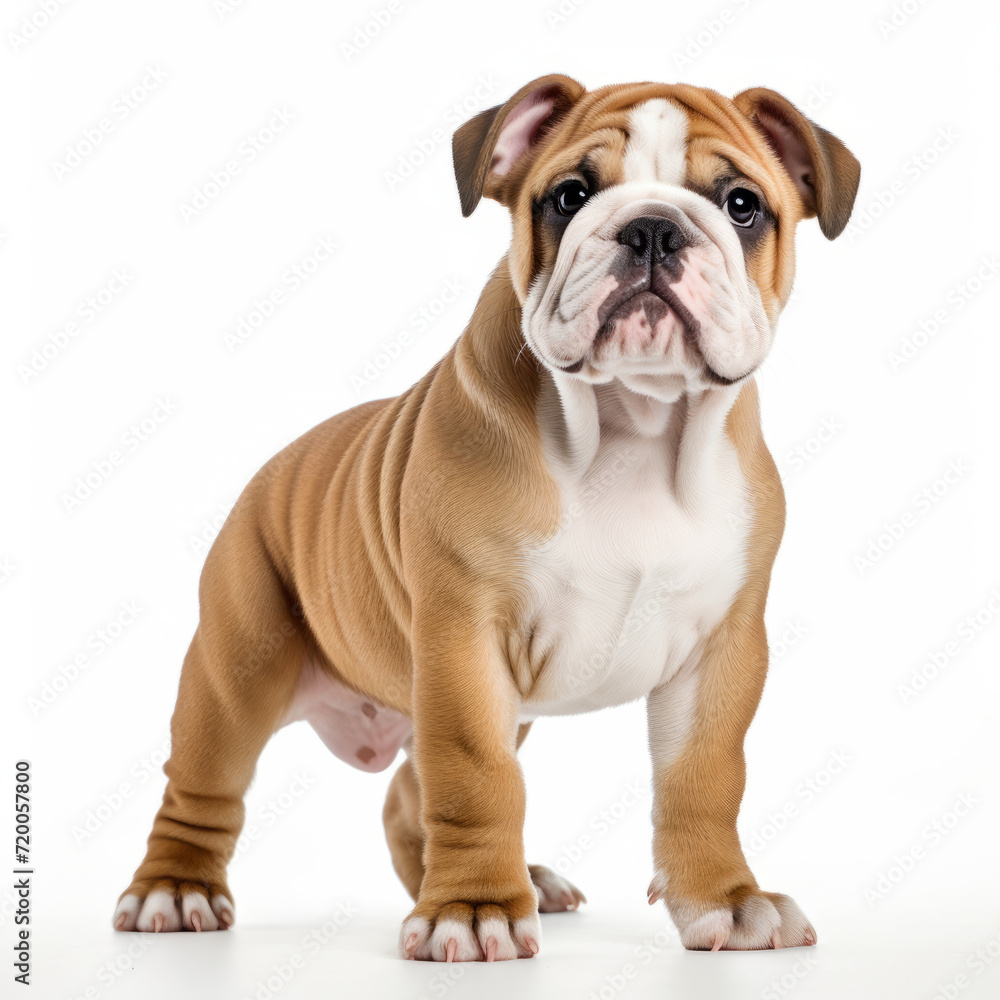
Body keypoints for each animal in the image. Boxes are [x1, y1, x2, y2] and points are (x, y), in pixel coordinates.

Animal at [109, 72, 860, 960]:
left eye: (741, 204)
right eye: (569, 196)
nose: (651, 228)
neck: (633, 428)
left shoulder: (722, 651)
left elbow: (704, 778)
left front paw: (726, 900)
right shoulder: (465, 637)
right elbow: (475, 776)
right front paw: (473, 911)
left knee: (406, 798)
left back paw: (512, 880)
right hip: (237, 671)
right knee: (203, 787)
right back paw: (177, 890)